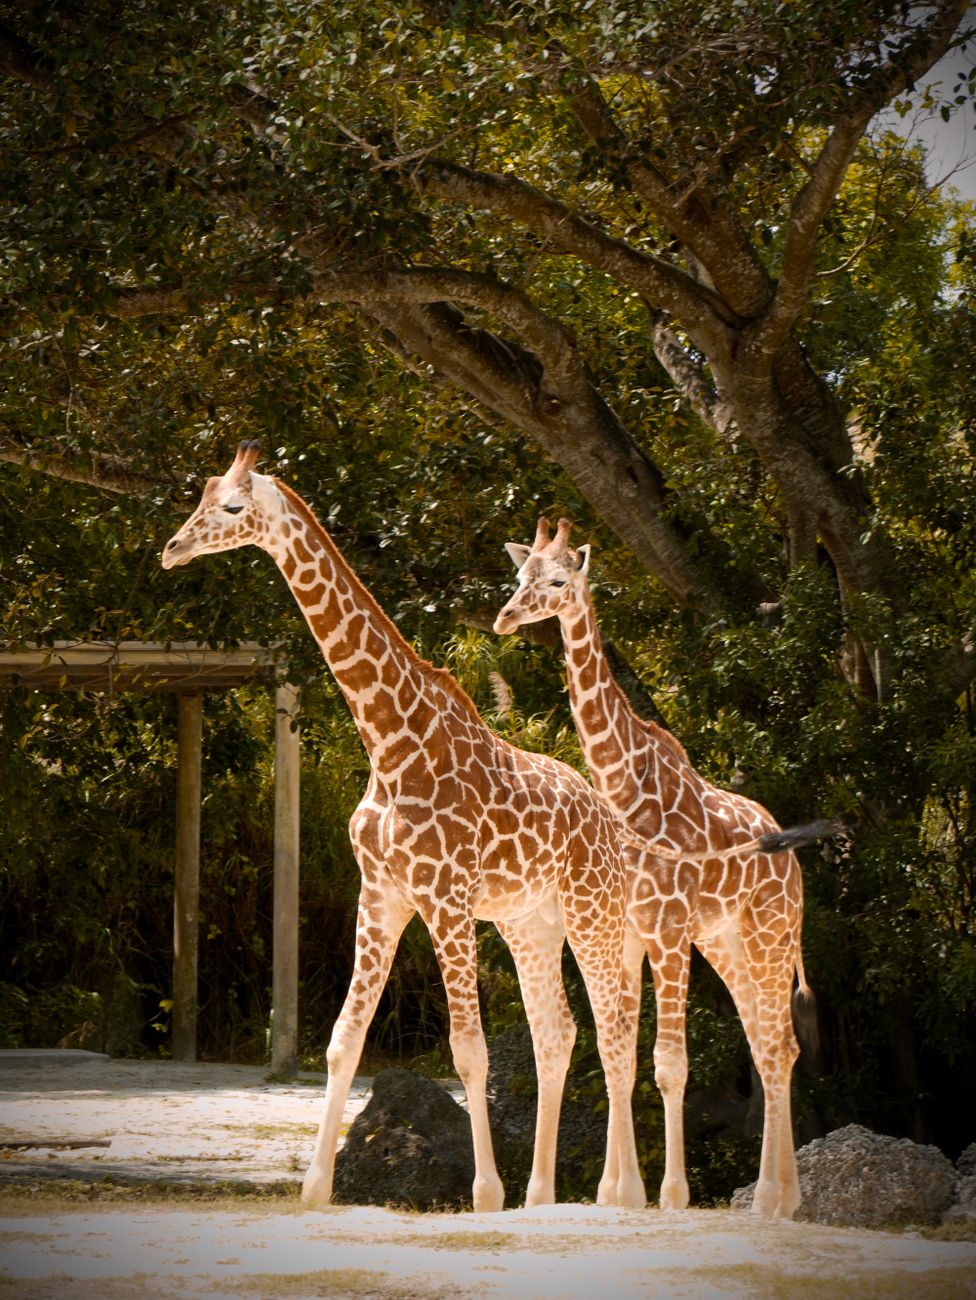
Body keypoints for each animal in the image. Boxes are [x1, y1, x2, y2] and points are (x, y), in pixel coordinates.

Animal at [162, 446, 646, 1213]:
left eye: (233, 507)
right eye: (203, 494)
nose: (173, 548)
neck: (390, 741)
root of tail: (608, 821)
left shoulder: (444, 897)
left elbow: (469, 1051)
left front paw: (485, 1193)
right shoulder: (381, 893)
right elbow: (342, 1039)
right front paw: (316, 1187)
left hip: (591, 912)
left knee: (616, 1032)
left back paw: (616, 1193)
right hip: (530, 922)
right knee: (558, 1032)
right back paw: (542, 1197)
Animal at [493, 517, 817, 1219]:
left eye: (557, 582)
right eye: (519, 575)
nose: (505, 618)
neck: (626, 792)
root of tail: (796, 868)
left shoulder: (668, 932)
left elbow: (670, 1063)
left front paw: (669, 1196)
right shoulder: (633, 935)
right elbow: (621, 1050)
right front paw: (617, 1192)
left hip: (771, 936)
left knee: (781, 1045)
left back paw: (775, 1197)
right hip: (727, 943)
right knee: (768, 1045)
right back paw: (777, 1197)